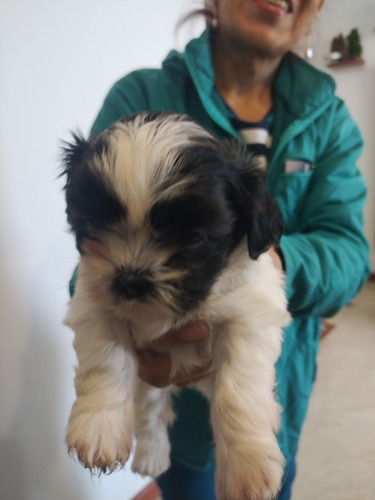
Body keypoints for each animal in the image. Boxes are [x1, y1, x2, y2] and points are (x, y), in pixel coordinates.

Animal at [62, 110, 290, 500]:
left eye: (194, 238)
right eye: (91, 224)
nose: (131, 278)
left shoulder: (251, 311)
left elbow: (237, 389)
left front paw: (246, 466)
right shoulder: (94, 303)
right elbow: (107, 362)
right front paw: (99, 429)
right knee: (151, 408)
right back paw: (152, 454)